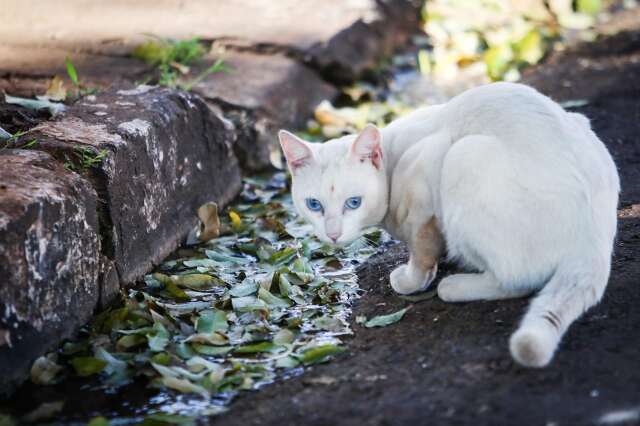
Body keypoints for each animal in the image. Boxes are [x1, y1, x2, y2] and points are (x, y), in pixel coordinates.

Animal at [280, 82, 620, 366]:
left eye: (354, 202)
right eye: (314, 205)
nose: (333, 234)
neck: (392, 159)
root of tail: (595, 237)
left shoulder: (426, 177)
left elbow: (421, 250)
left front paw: (412, 279)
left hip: (463, 156)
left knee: (518, 279)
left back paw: (455, 285)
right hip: (579, 121)